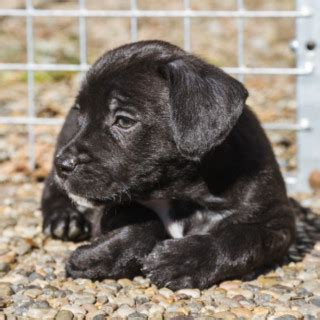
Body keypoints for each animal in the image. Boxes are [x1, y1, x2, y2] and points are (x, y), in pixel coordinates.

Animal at [42, 40, 296, 290]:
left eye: (123, 121)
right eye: (80, 115)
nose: (63, 164)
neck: (184, 194)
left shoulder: (276, 224)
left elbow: (240, 240)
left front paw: (183, 261)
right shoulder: (112, 207)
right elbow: (142, 220)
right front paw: (96, 258)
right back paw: (63, 218)